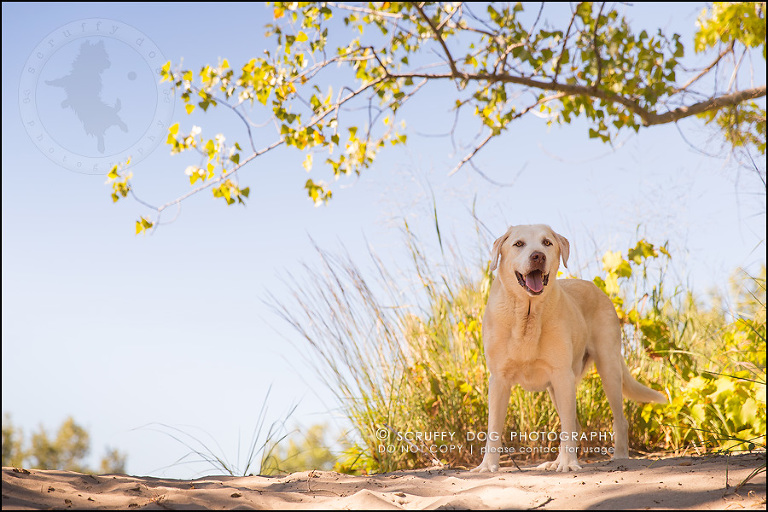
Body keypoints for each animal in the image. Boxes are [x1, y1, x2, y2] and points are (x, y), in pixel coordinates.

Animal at [472, 226, 664, 474]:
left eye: (547, 243)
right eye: (518, 244)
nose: (538, 256)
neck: (527, 314)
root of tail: (595, 287)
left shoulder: (562, 374)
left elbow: (567, 428)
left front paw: (569, 464)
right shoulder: (499, 379)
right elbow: (494, 429)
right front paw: (487, 466)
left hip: (607, 369)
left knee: (614, 421)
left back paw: (617, 457)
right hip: (557, 388)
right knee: (574, 424)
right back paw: (555, 461)